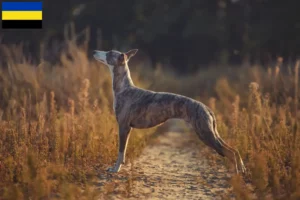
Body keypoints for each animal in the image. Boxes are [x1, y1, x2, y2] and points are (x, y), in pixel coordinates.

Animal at [94, 48, 246, 173]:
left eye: (109, 52)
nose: (94, 51)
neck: (124, 88)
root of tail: (206, 108)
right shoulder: (128, 128)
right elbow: (124, 152)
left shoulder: (123, 126)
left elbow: (120, 152)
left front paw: (115, 169)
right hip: (211, 133)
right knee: (235, 150)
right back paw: (242, 169)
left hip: (205, 134)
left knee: (230, 152)